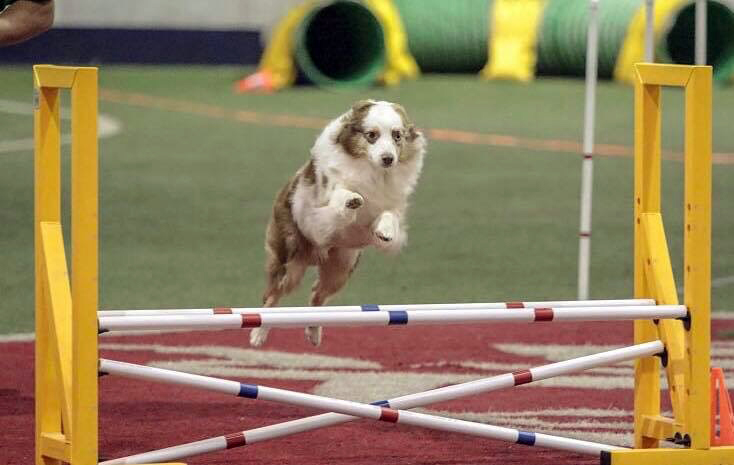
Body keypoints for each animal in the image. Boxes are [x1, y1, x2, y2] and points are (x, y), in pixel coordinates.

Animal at [252, 99, 428, 346]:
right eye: (371, 135)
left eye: (397, 135)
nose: (388, 158)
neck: (375, 173)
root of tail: (314, 256)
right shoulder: (327, 197)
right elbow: (342, 196)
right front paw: (351, 200)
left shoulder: (388, 206)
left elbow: (388, 215)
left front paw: (385, 231)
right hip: (290, 263)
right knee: (272, 298)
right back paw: (258, 335)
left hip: (340, 269)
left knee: (316, 294)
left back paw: (313, 332)